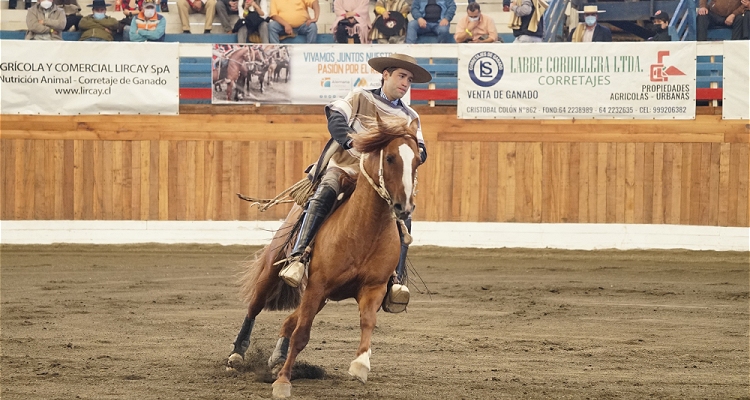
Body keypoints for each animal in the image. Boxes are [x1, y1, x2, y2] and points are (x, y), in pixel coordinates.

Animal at [228, 115, 424, 396]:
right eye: (389, 158)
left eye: (418, 160)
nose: (404, 206)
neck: (363, 229)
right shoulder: (317, 285)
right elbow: (301, 334)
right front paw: (283, 382)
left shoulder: (372, 288)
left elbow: (368, 322)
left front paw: (360, 365)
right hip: (275, 271)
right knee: (255, 307)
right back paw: (238, 354)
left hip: (321, 296)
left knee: (289, 321)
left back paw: (277, 359)